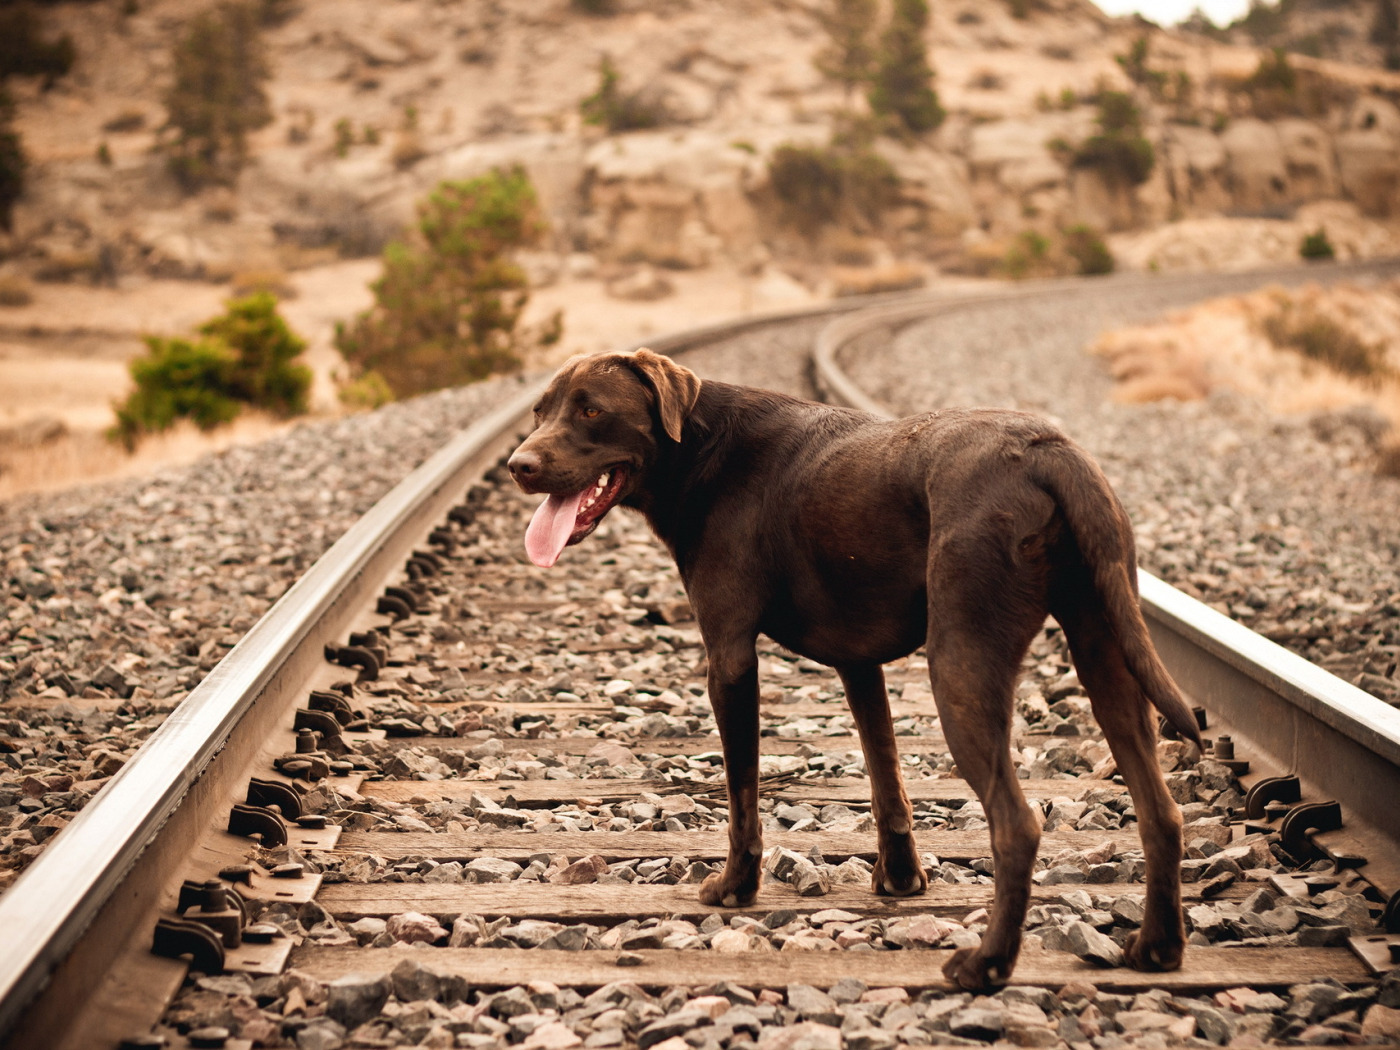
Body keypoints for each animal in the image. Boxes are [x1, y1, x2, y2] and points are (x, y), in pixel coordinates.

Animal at [506, 350, 1204, 991]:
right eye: (539, 411)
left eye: (591, 410)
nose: (519, 465)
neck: (703, 448)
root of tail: (1048, 453)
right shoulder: (859, 662)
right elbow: (884, 773)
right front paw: (899, 877)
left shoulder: (728, 655)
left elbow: (742, 794)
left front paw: (735, 887)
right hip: (1106, 648)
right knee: (1162, 813)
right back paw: (1157, 947)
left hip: (962, 664)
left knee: (1017, 826)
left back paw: (986, 965)